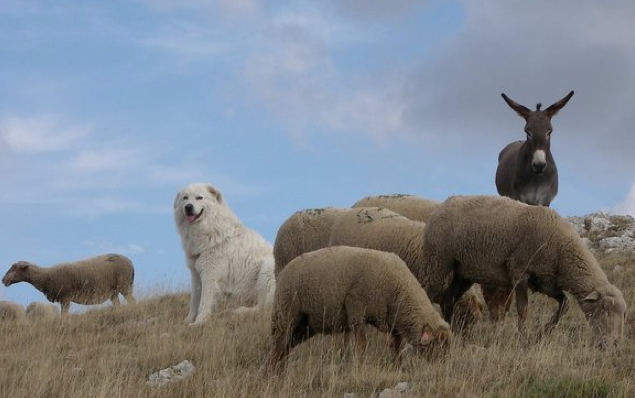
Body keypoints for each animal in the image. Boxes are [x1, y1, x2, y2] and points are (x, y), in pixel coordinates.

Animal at [1, 253, 136, 316]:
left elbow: (64, 315)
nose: (3, 280)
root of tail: (130, 262)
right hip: (114, 292)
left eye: (15, 268)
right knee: (118, 305)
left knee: (132, 302)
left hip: (124, 286)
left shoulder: (65, 298)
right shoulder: (64, 299)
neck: (46, 276)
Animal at [174, 182, 276, 324]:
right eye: (185, 198)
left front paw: (199, 322)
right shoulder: (196, 274)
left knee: (264, 308)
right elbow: (194, 302)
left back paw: (241, 311)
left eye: (199, 197)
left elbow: (204, 302)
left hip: (267, 269)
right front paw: (188, 321)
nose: (188, 207)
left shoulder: (210, 274)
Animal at [268, 246, 452, 370]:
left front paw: (397, 367)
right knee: (278, 346)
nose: (442, 368)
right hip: (285, 314)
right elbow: (362, 344)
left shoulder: (394, 321)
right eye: (436, 345)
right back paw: (274, 374)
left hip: (305, 325)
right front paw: (359, 368)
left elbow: (396, 346)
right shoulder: (356, 308)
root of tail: (283, 271)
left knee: (286, 347)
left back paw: (282, 372)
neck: (398, 289)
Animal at [422, 195, 628, 348]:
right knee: (427, 291)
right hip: (437, 261)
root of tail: (440, 207)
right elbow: (523, 309)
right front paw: (523, 340)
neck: (562, 251)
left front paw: (541, 335)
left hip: (463, 272)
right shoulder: (520, 271)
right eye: (606, 308)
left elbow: (564, 304)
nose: (614, 344)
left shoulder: (545, 282)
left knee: (448, 300)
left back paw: (453, 332)